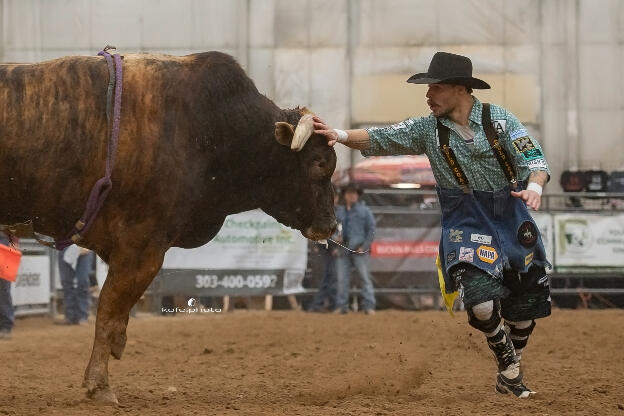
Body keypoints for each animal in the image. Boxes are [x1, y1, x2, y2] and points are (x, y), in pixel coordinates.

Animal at [0, 51, 337, 403]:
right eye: (318, 162)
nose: (331, 224)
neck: (209, 130)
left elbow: (118, 312)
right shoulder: (141, 246)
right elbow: (109, 310)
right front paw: (100, 385)